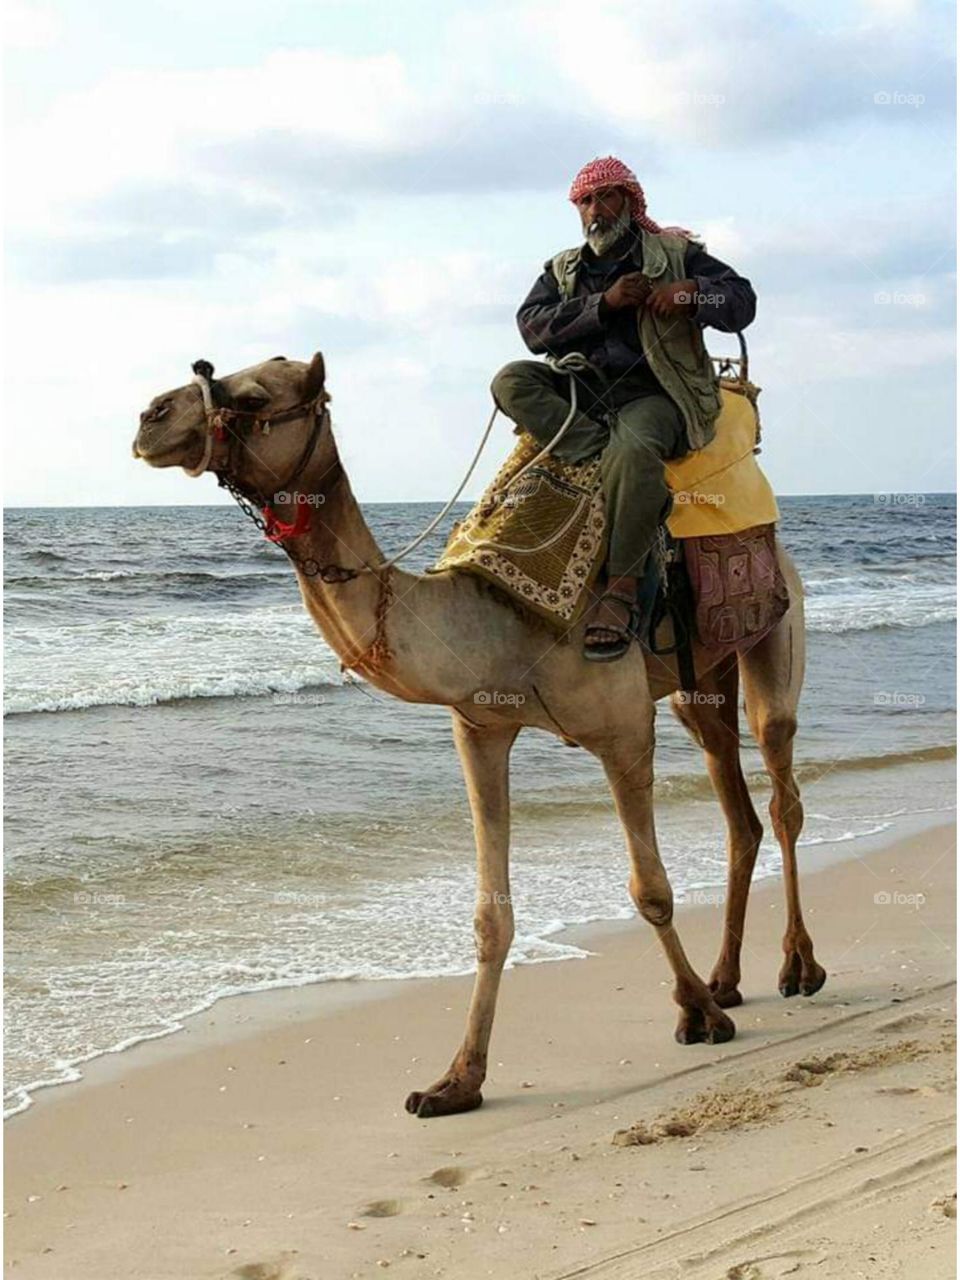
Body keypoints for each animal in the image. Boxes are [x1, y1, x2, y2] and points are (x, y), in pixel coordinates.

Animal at [133, 351, 826, 1118]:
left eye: (255, 395)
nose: (151, 417)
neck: (494, 618)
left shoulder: (622, 730)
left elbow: (650, 889)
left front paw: (697, 1014)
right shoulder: (480, 730)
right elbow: (491, 916)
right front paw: (456, 1081)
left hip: (776, 632)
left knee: (781, 787)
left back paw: (798, 966)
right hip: (697, 684)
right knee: (737, 810)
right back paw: (728, 977)